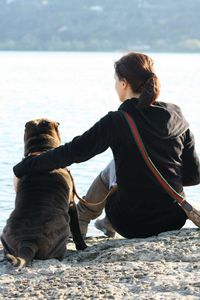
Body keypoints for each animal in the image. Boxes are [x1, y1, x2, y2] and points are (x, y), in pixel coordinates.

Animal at [0, 118, 86, 268]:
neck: (40, 151)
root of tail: (28, 242)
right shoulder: (71, 203)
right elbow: (76, 229)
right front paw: (82, 246)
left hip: (5, 232)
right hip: (63, 228)